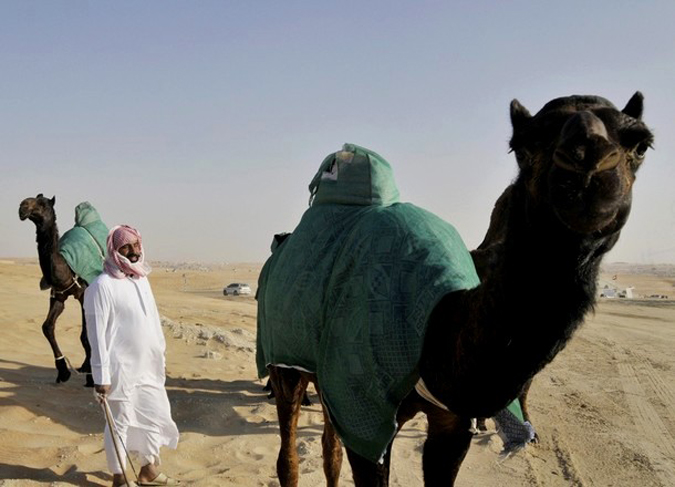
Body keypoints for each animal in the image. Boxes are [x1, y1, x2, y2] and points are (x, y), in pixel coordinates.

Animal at [19, 195, 94, 388]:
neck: (66, 268)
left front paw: (91, 378)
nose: (23, 206)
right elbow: (47, 327)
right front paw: (63, 372)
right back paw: (83, 367)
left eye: (43, 204)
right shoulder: (58, 295)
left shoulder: (84, 295)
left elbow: (85, 336)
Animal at [268, 93, 656, 486]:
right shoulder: (365, 410)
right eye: (524, 145)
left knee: (329, 447)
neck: (439, 323)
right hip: (285, 364)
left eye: (641, 144)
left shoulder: (450, 421)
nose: (587, 162)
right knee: (288, 451)